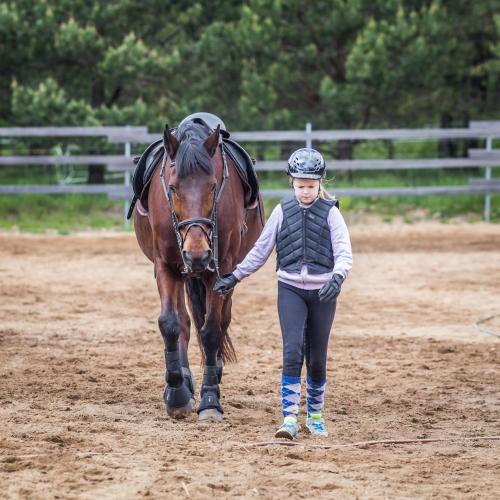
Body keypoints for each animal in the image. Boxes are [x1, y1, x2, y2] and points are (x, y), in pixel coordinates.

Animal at [133, 117, 266, 422]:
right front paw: (177, 394)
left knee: (222, 321)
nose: (197, 254)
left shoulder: (221, 270)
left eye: (213, 187)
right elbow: (170, 324)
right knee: (183, 321)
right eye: (172, 188)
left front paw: (210, 399)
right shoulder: (165, 265)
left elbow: (212, 330)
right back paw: (183, 381)